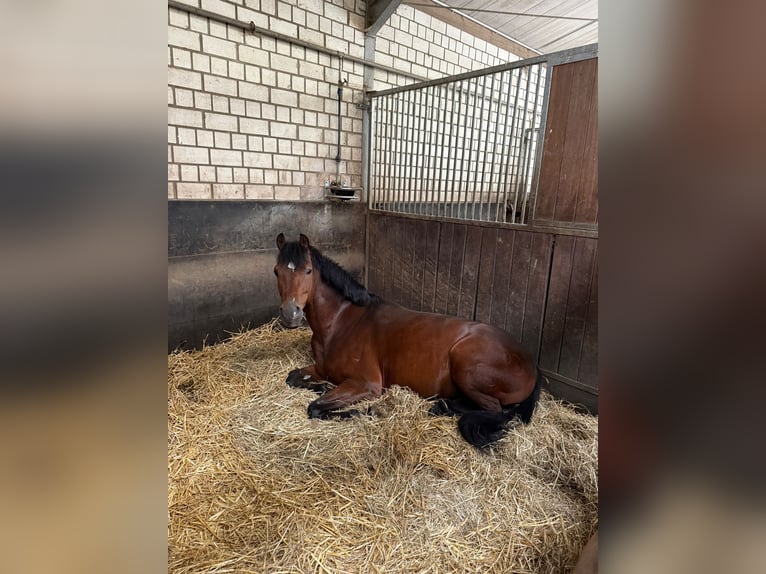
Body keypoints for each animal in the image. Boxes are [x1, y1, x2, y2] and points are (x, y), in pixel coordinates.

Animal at [273, 232, 542, 448]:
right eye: (277, 271)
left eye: (308, 270)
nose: (290, 314)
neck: (341, 323)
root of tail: (529, 361)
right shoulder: (320, 369)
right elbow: (293, 378)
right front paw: (322, 386)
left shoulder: (367, 385)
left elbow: (316, 407)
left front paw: (369, 411)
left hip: (465, 365)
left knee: (497, 410)